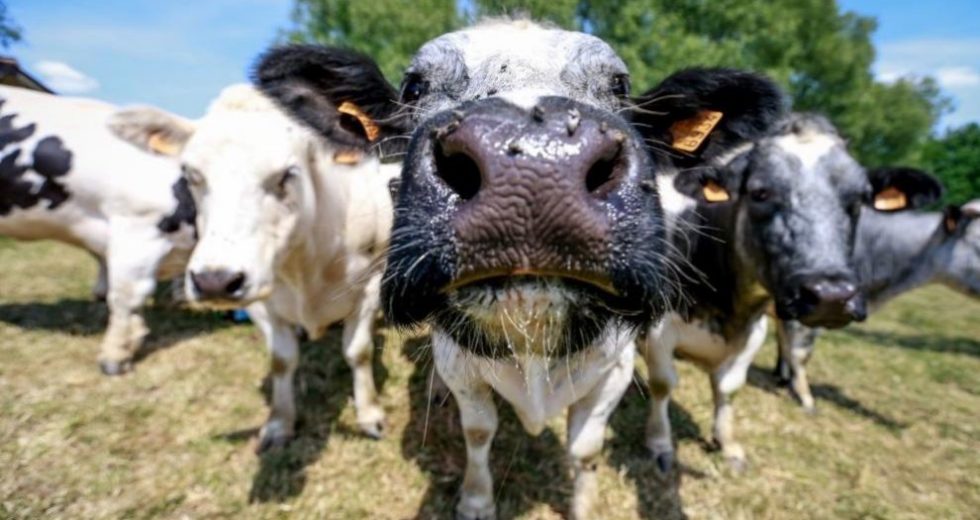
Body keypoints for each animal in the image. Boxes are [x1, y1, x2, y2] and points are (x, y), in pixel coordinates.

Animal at [108, 84, 397, 449]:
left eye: (287, 174)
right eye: (191, 175)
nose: (214, 281)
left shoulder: (369, 288)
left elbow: (358, 352)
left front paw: (370, 416)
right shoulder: (261, 302)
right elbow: (282, 360)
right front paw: (279, 424)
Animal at [253, 18, 785, 519]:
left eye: (619, 85)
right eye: (414, 87)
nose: (532, 164)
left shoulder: (614, 370)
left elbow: (585, 450)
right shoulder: (461, 366)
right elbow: (478, 431)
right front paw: (475, 500)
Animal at [641, 114, 946, 473]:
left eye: (859, 199)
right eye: (760, 192)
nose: (830, 295)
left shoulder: (754, 331)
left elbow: (729, 388)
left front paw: (728, 445)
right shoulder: (658, 330)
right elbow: (663, 383)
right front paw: (660, 445)